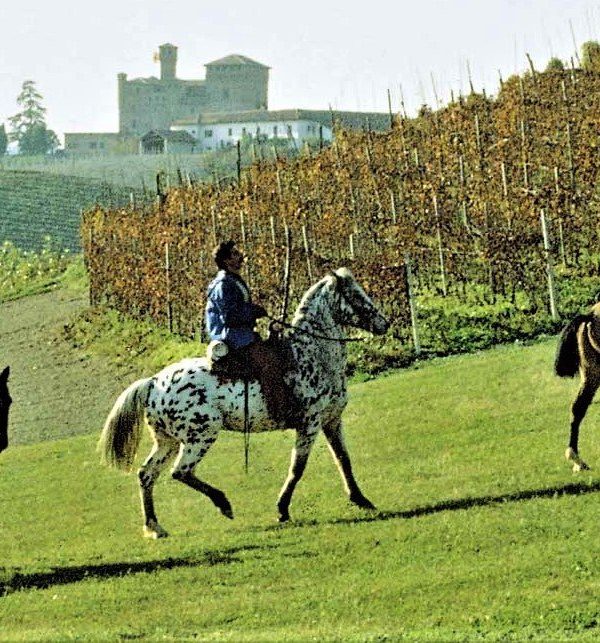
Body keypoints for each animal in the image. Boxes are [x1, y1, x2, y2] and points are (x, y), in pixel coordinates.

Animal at [98, 266, 390, 540]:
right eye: (354, 295)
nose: (384, 323)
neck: (311, 355)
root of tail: (153, 382)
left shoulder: (331, 421)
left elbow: (343, 459)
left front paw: (361, 499)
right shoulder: (309, 425)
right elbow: (297, 468)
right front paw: (282, 509)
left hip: (167, 442)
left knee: (147, 474)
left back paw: (155, 527)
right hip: (200, 436)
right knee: (180, 472)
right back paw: (223, 504)